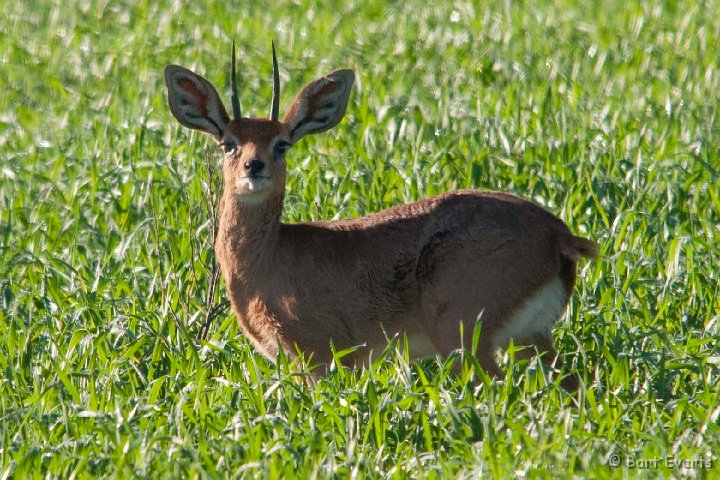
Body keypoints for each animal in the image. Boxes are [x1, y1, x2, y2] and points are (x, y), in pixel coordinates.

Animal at [163, 44, 596, 390]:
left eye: (282, 143)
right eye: (228, 143)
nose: (255, 167)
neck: (268, 258)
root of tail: (558, 234)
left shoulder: (320, 359)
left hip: (464, 338)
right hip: (530, 339)